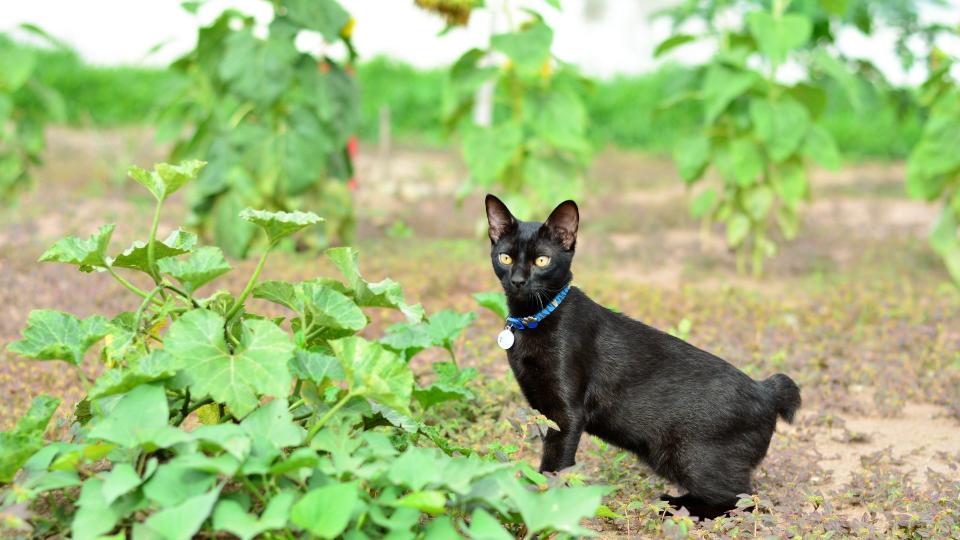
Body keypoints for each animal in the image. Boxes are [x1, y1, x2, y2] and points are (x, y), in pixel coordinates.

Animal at [484, 194, 800, 520]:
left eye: (542, 261)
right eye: (505, 258)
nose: (518, 280)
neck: (533, 319)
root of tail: (767, 391)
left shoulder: (567, 414)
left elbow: (554, 467)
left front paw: (544, 506)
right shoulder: (542, 408)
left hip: (688, 456)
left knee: (744, 500)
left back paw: (673, 506)